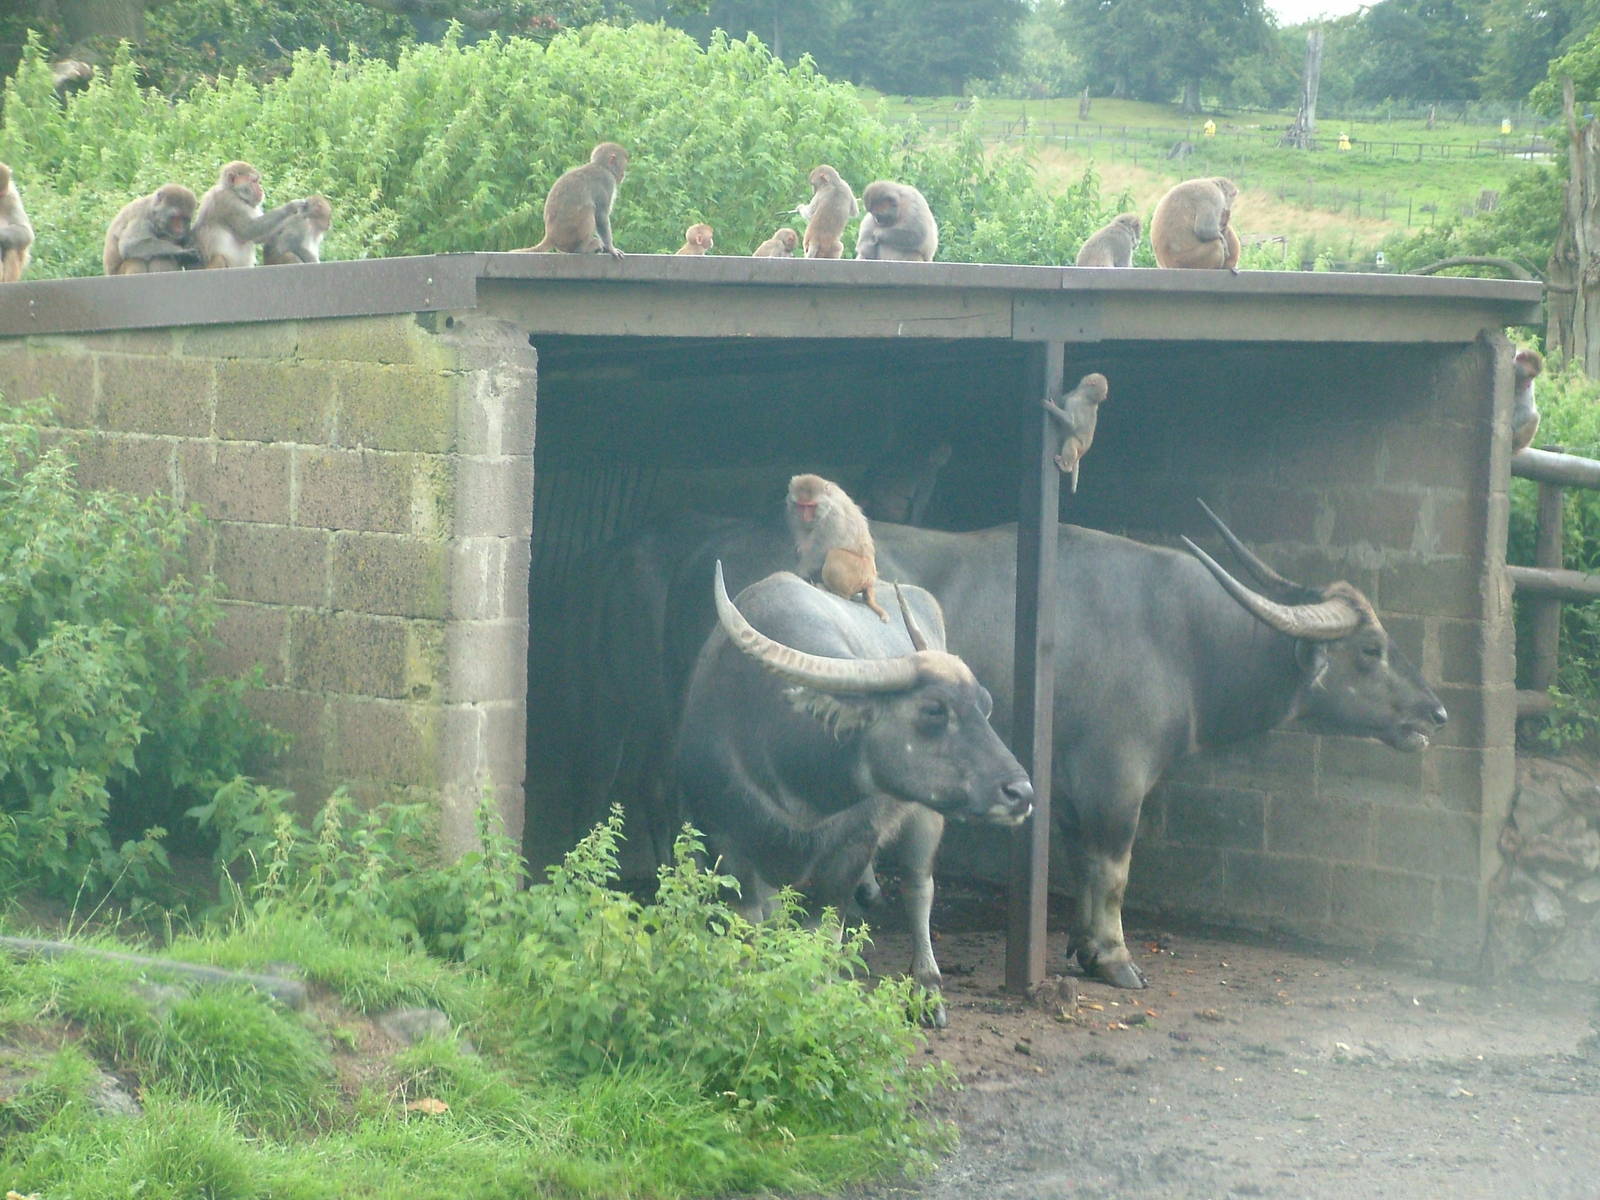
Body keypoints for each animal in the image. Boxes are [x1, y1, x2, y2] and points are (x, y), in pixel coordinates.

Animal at [786, 474, 888, 621]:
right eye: (801, 506)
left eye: (810, 506)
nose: (804, 517)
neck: (827, 504)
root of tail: (870, 580)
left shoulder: (833, 517)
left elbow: (819, 549)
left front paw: (800, 572)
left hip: (858, 573)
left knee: (834, 553)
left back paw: (834, 591)